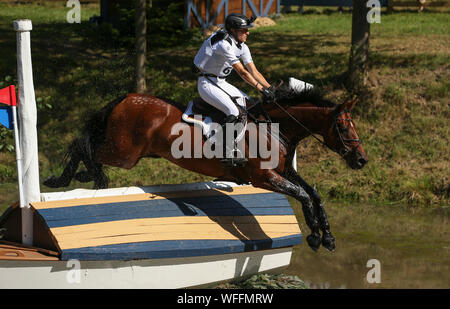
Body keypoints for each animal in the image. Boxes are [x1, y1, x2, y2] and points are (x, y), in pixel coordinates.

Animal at [44, 79, 370, 250]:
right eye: (344, 127)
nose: (361, 160)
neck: (275, 128)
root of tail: (126, 98)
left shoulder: (285, 172)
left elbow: (313, 193)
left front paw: (328, 236)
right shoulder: (265, 177)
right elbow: (303, 194)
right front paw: (315, 235)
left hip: (130, 152)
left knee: (87, 149)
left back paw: (80, 177)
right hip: (124, 153)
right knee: (83, 147)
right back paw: (65, 179)